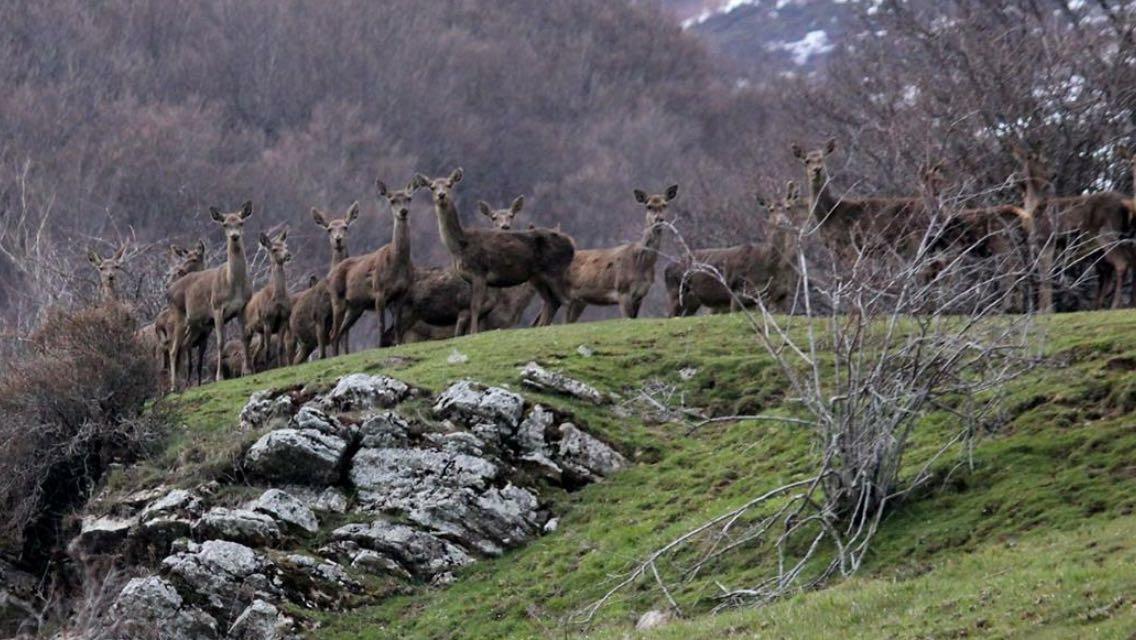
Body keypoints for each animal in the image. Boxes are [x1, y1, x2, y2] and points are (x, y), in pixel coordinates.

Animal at [165, 202, 254, 388]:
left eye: (241, 222)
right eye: (225, 224)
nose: (234, 236)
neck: (233, 283)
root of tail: (168, 291)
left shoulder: (243, 306)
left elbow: (244, 337)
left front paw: (247, 371)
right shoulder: (217, 307)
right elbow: (221, 342)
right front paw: (219, 377)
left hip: (195, 323)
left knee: (184, 345)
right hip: (178, 315)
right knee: (173, 349)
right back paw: (174, 386)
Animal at [243, 231, 293, 370]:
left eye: (286, 246)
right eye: (274, 249)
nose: (288, 254)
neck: (277, 299)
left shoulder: (284, 319)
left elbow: (280, 348)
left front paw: (281, 367)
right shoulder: (267, 320)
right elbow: (268, 350)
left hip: (259, 331)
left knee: (256, 352)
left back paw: (254, 369)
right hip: (247, 326)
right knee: (246, 347)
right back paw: (248, 370)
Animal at [415, 164, 577, 336]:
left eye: (449, 184)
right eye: (432, 186)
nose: (441, 195)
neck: (460, 245)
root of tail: (572, 245)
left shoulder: (479, 271)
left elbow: (475, 306)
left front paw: (473, 333)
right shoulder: (472, 279)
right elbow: (473, 309)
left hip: (555, 270)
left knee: (566, 299)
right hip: (537, 276)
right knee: (551, 301)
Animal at [561, 187, 672, 322]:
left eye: (665, 205)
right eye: (649, 206)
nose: (659, 219)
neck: (641, 264)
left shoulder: (640, 294)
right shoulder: (623, 291)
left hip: (579, 301)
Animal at [1017, 147, 1131, 313]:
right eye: (1042, 161)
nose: (1054, 173)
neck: (1033, 209)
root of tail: (1124, 202)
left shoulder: (1048, 239)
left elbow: (1046, 276)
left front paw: (1047, 310)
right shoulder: (1037, 244)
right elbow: (1042, 276)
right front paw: (1041, 309)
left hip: (1107, 232)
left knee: (1120, 264)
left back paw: (1114, 306)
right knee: (1107, 270)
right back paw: (1098, 306)